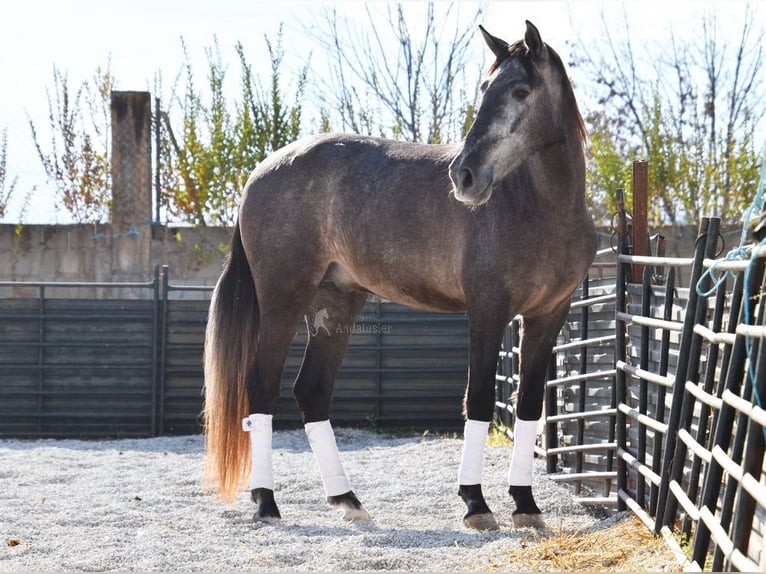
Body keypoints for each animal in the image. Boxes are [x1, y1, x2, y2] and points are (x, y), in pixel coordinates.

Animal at [201, 21, 596, 536]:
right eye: (484, 88)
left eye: (520, 90)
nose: (464, 176)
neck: (542, 208)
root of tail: (259, 173)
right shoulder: (488, 312)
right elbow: (479, 400)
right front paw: (475, 503)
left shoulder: (549, 315)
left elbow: (529, 405)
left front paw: (526, 505)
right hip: (283, 300)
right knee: (262, 387)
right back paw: (267, 502)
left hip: (336, 305)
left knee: (312, 391)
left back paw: (347, 501)